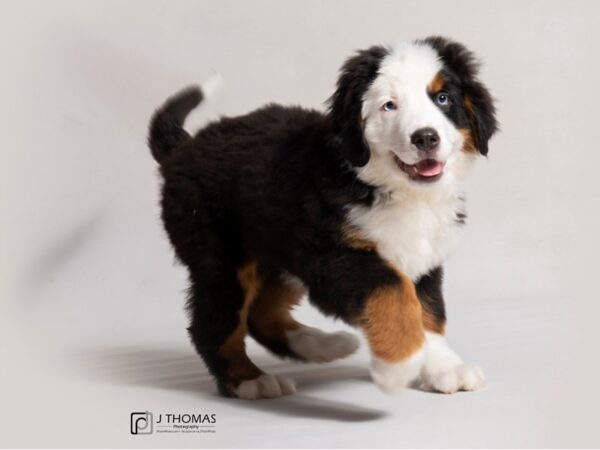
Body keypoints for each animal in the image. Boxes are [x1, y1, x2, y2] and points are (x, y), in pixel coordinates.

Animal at [149, 36, 496, 400]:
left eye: (443, 98)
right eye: (389, 106)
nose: (426, 137)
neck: (387, 187)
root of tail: (183, 148)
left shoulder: (424, 258)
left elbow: (428, 312)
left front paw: (446, 368)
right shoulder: (332, 256)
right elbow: (393, 289)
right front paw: (399, 365)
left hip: (278, 256)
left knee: (262, 312)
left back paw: (324, 345)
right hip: (221, 256)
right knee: (214, 325)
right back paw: (250, 380)